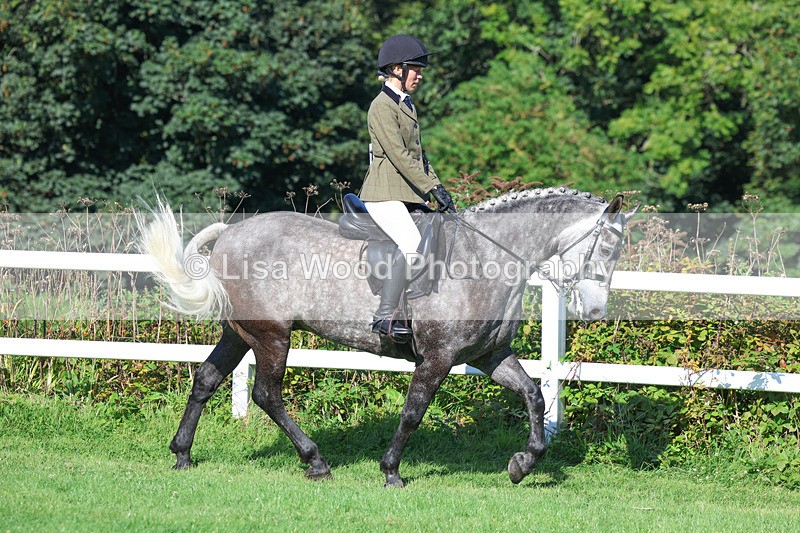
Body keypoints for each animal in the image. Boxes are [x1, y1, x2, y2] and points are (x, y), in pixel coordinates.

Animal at [137, 187, 637, 487]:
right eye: (608, 247)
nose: (594, 312)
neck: (487, 257)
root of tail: (232, 230)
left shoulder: (491, 355)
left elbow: (534, 396)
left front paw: (522, 464)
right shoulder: (437, 358)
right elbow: (413, 413)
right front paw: (391, 471)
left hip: (240, 333)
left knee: (206, 378)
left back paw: (182, 455)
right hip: (272, 336)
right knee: (266, 394)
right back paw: (316, 461)